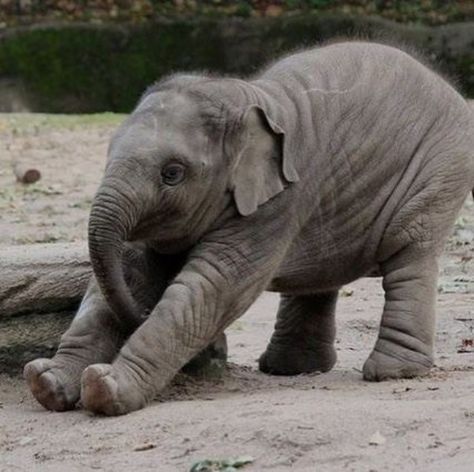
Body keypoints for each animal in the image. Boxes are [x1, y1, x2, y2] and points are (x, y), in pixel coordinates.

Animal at [25, 41, 474, 416]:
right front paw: (45, 382)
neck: (244, 97)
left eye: (173, 173)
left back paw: (391, 373)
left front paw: (105, 389)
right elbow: (132, 274)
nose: (142, 312)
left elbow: (215, 285)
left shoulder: (278, 203)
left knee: (410, 257)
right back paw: (289, 369)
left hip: (440, 170)